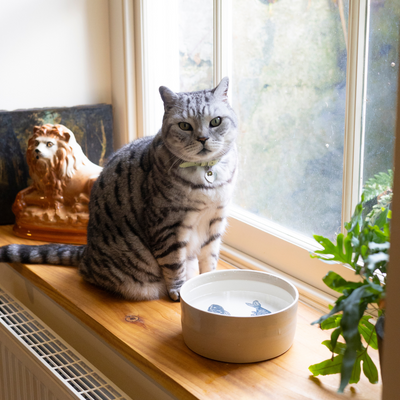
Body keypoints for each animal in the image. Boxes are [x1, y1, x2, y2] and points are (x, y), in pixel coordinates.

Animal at [0, 76, 238, 302]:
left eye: (216, 121)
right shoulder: (168, 226)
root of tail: (87, 251)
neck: (207, 178)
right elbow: (174, 264)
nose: (203, 138)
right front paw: (179, 291)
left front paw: (209, 282)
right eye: (185, 126)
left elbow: (209, 260)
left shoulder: (215, 222)